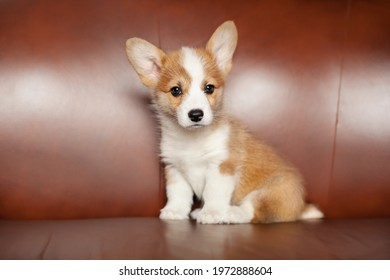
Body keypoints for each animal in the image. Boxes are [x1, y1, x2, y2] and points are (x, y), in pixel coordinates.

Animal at [125, 20, 322, 224]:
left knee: (252, 211)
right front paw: (175, 211)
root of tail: (300, 208)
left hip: (274, 189)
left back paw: (229, 213)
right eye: (176, 90)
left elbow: (213, 192)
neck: (192, 138)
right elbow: (177, 193)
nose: (196, 114)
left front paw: (212, 212)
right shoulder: (175, 168)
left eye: (209, 88)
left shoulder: (222, 166)